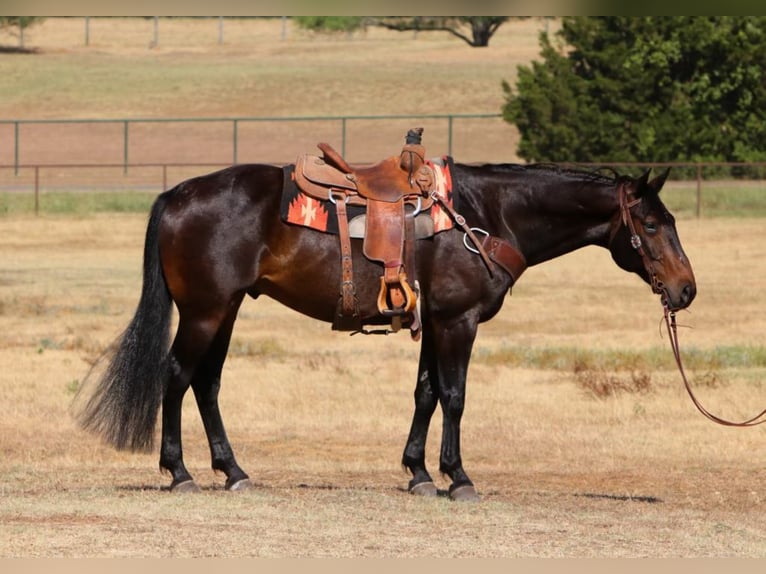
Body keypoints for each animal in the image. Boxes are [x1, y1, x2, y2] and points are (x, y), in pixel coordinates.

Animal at [75, 156, 700, 500]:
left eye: (670, 219)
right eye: (650, 224)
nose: (686, 289)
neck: (484, 216)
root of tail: (178, 195)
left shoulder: (437, 321)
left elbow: (425, 393)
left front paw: (419, 472)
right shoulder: (459, 323)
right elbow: (454, 395)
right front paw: (458, 477)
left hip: (225, 310)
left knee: (206, 384)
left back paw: (232, 470)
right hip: (205, 311)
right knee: (177, 376)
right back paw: (179, 471)